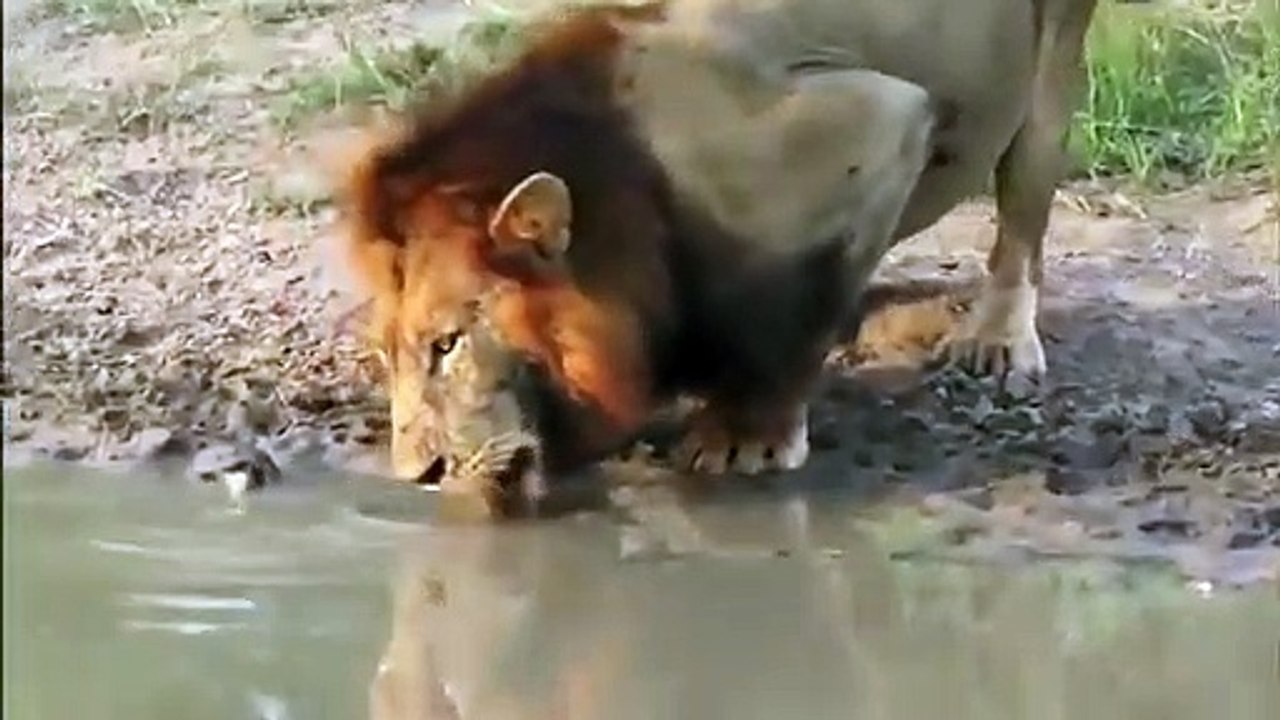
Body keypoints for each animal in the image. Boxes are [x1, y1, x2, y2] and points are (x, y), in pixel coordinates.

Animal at [327, 0, 1100, 505]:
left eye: (448, 344)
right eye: (385, 357)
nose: (418, 476)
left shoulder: (873, 123)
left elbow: (802, 313)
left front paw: (745, 437)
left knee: (1027, 189)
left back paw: (998, 339)